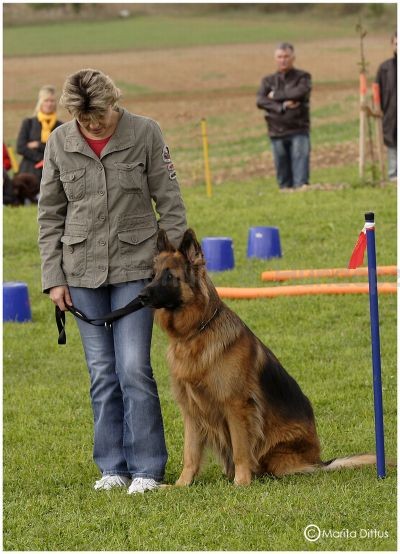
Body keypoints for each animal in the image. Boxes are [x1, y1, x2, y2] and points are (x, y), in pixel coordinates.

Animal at [139, 228, 377, 486]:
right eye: (152, 275)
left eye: (169, 276)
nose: (141, 296)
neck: (197, 332)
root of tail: (318, 460)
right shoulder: (192, 410)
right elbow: (190, 454)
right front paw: (181, 485)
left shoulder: (237, 406)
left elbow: (241, 449)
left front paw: (241, 482)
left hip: (278, 457)